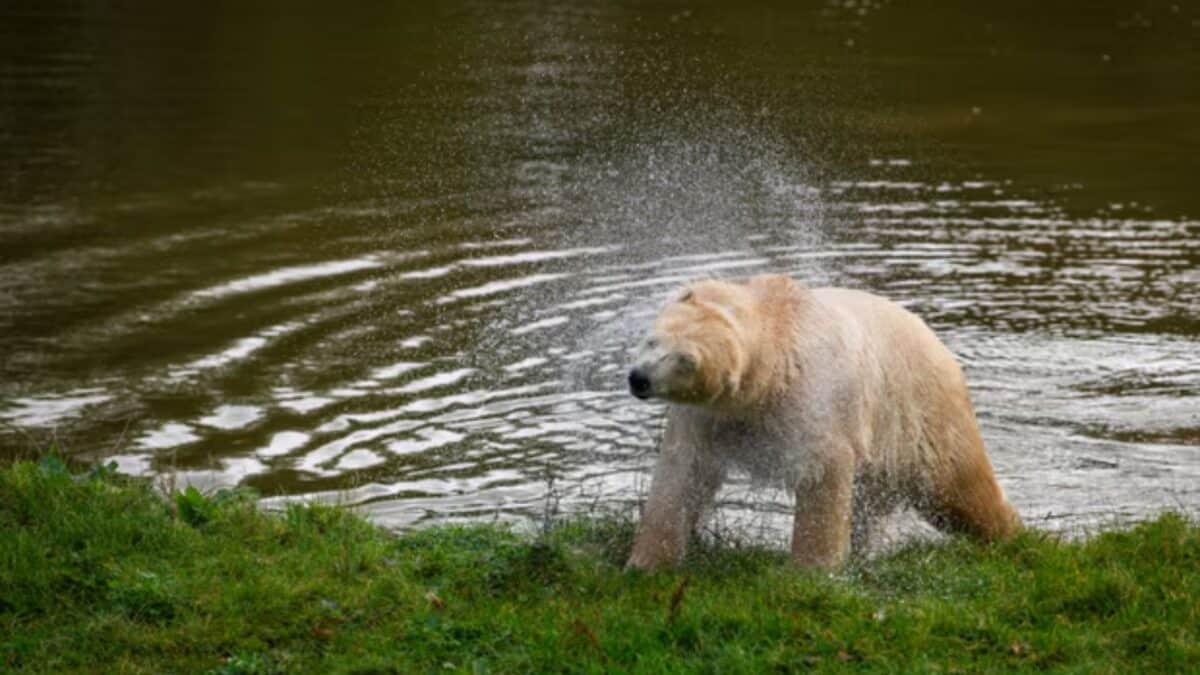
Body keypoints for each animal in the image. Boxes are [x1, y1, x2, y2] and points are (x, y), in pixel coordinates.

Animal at [625, 273, 1020, 570]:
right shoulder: (707, 416)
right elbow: (681, 473)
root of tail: (940, 346)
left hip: (917, 411)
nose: (638, 379)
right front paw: (646, 563)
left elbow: (822, 474)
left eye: (685, 361)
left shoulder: (813, 400)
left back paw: (1014, 536)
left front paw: (810, 571)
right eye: (653, 341)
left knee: (956, 486)